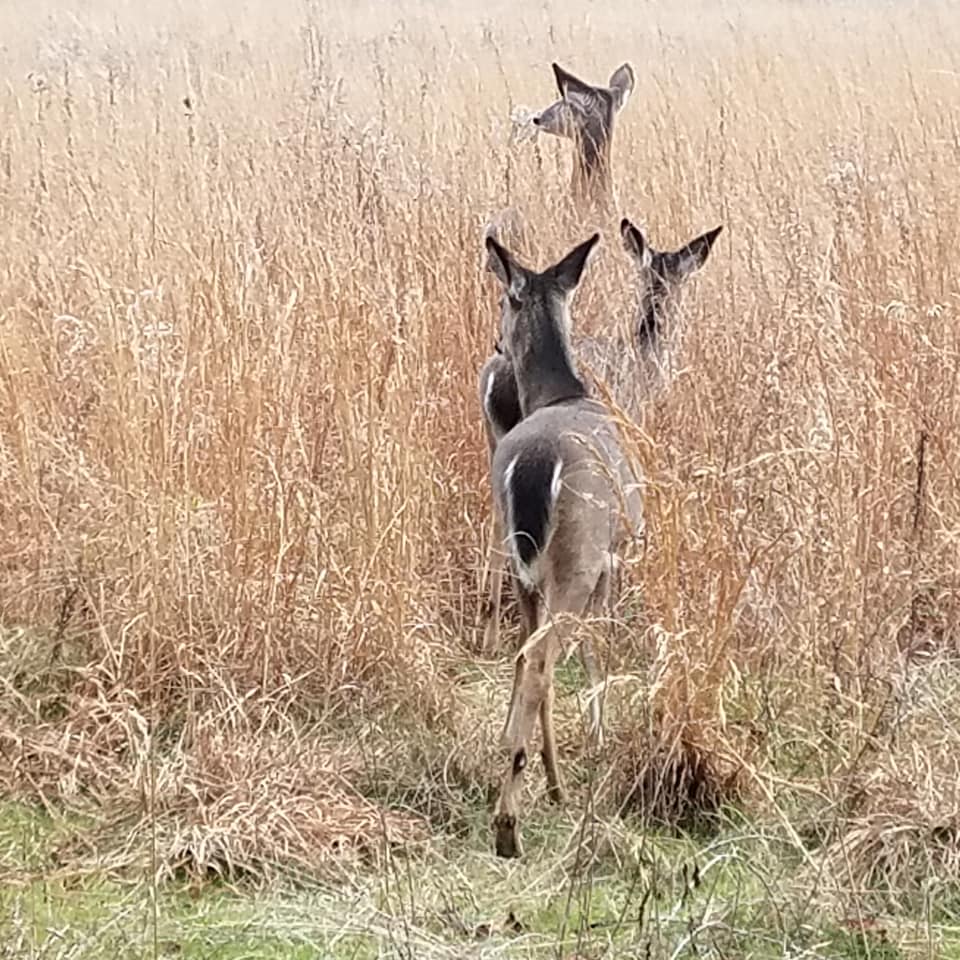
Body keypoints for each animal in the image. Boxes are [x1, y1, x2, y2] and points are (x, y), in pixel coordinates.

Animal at [483, 229, 644, 859]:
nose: (495, 344)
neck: (562, 394)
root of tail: (532, 465)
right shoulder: (613, 560)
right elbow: (599, 655)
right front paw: (598, 743)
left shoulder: (526, 576)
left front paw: (556, 781)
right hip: (576, 555)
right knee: (545, 657)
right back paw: (508, 825)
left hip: (519, 559)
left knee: (527, 654)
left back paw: (527, 780)